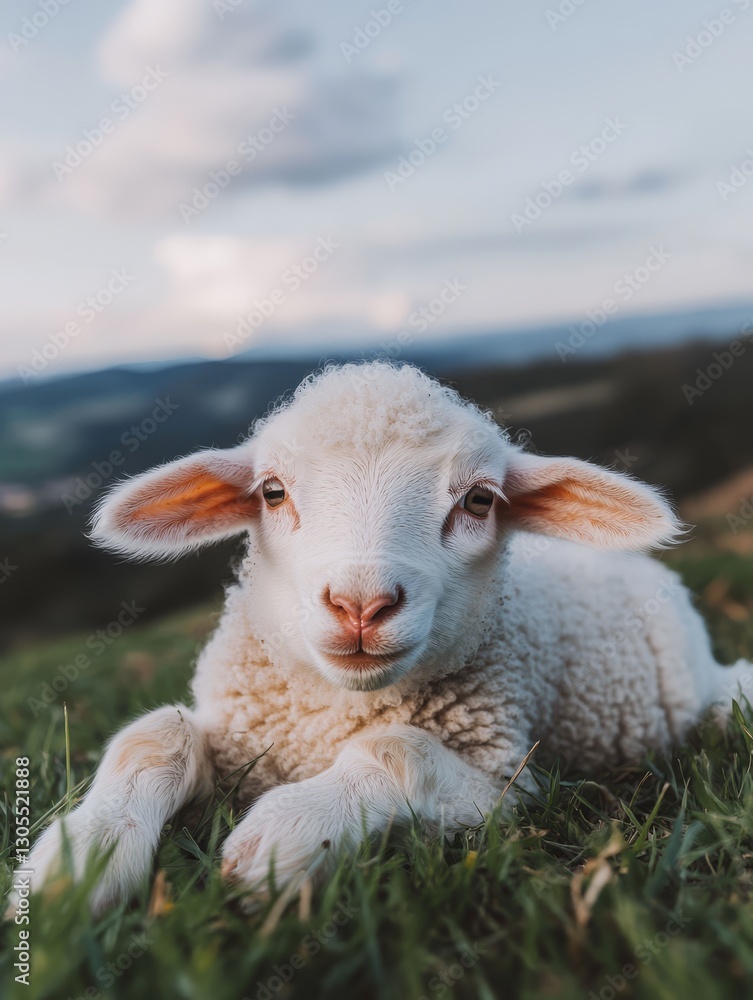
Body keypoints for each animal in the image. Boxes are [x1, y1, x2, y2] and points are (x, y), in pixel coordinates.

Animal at [10, 360, 751, 915]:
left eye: (479, 500)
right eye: (272, 491)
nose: (360, 605)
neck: (331, 712)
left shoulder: (512, 788)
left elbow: (397, 749)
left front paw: (286, 837)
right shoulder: (241, 735)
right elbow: (154, 735)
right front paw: (79, 862)